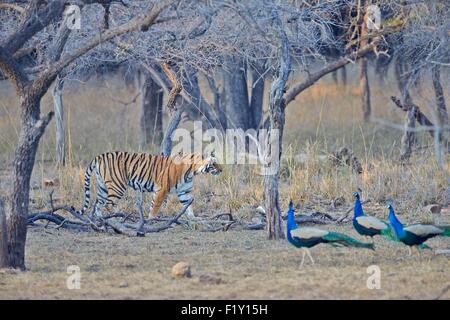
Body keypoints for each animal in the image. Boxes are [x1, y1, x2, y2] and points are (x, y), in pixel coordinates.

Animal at [77, 151, 221, 219]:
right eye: (213, 163)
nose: (221, 170)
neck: (192, 171)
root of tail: (100, 156)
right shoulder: (162, 189)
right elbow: (155, 206)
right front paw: (152, 219)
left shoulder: (184, 192)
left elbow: (188, 206)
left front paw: (193, 218)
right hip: (117, 186)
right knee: (108, 205)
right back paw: (116, 218)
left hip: (103, 187)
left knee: (97, 205)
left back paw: (101, 219)